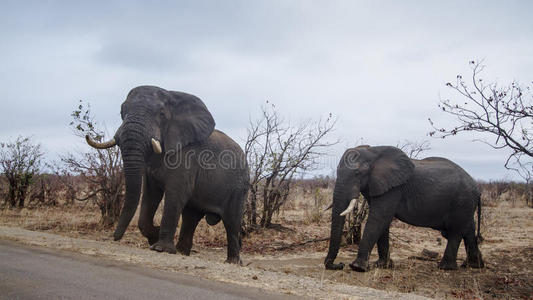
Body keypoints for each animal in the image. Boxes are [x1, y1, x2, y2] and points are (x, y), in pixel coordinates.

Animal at [86, 85, 248, 264]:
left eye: (162, 114)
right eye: (122, 112)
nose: (115, 238)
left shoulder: (187, 158)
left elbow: (175, 194)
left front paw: (159, 248)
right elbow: (150, 194)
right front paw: (154, 237)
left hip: (238, 188)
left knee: (231, 222)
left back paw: (232, 262)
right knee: (191, 217)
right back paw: (182, 252)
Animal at [322, 145, 484, 272]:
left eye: (357, 173)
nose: (339, 264)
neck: (373, 151)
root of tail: (477, 189)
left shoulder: (394, 189)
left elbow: (379, 218)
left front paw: (357, 267)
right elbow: (382, 222)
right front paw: (383, 265)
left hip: (462, 201)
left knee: (456, 231)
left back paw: (446, 267)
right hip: (465, 204)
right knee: (468, 229)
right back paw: (474, 265)